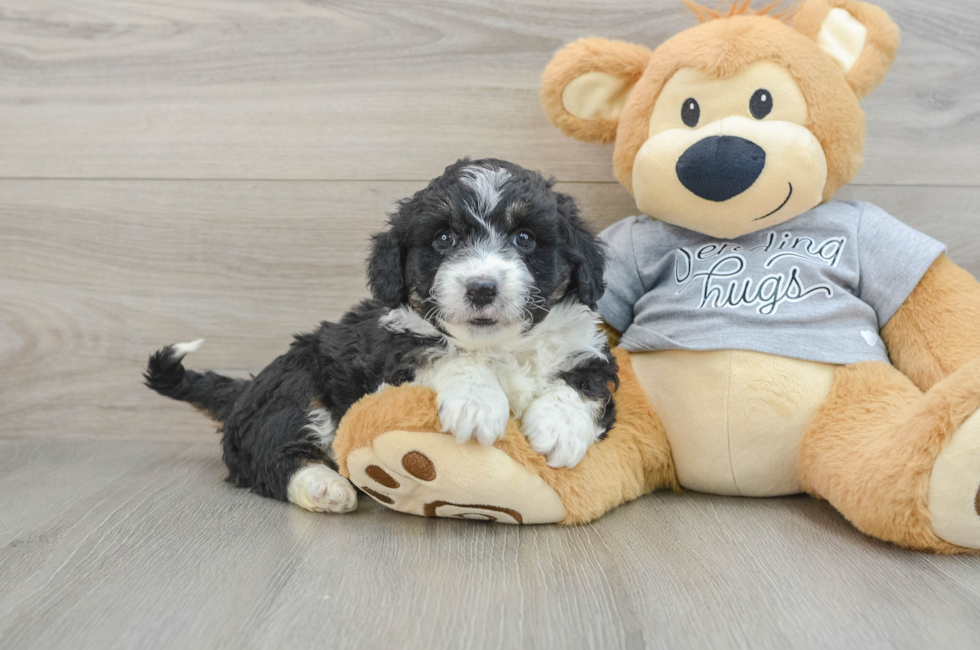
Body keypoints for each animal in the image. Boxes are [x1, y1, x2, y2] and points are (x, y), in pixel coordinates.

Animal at [144, 157, 620, 512]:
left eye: (524, 238)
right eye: (443, 239)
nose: (481, 288)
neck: (496, 348)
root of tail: (246, 391)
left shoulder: (589, 349)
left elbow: (585, 382)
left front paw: (559, 428)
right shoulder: (395, 348)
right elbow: (443, 353)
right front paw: (477, 403)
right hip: (295, 386)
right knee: (270, 456)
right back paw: (323, 486)